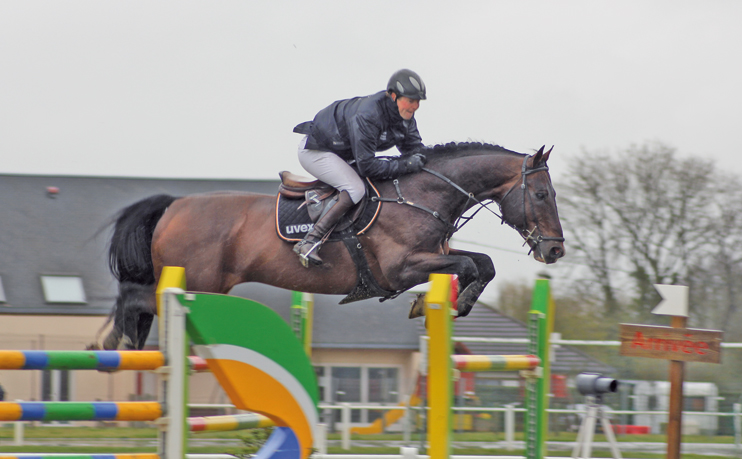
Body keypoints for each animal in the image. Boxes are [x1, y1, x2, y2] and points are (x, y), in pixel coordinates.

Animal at [96, 142, 568, 350]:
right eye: (542, 194)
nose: (555, 251)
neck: (421, 195)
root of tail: (174, 205)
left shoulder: (432, 258)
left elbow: (482, 264)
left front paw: (445, 305)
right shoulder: (402, 268)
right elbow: (472, 266)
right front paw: (442, 304)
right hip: (197, 284)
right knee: (138, 300)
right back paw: (111, 345)